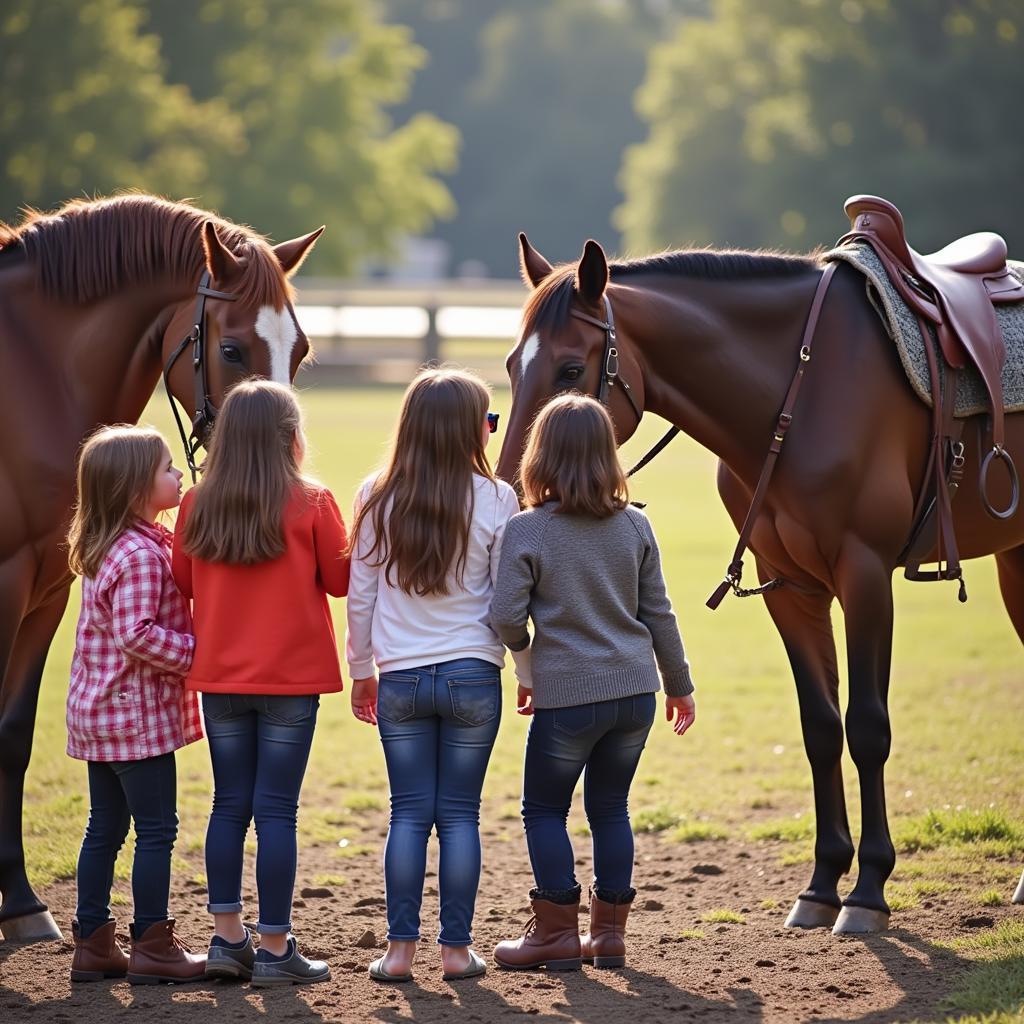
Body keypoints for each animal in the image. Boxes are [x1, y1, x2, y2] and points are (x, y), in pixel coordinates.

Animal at [0, 193, 323, 942]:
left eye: (300, 349)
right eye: (231, 348)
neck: (32, 376)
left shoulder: (46, 591)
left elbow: (13, 736)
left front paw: (21, 904)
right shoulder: (5, 582)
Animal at [495, 234, 1024, 937]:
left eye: (570, 370)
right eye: (510, 365)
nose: (515, 489)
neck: (803, 387)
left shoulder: (864, 577)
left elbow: (868, 727)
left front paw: (868, 892)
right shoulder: (790, 588)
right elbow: (820, 727)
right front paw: (823, 885)